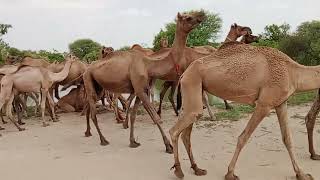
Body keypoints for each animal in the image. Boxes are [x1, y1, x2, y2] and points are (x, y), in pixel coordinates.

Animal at [82, 11, 206, 153]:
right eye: (188, 17)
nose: (201, 16)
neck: (149, 65)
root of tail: (86, 68)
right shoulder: (140, 89)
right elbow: (156, 118)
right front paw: (168, 146)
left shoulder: (141, 90)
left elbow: (133, 116)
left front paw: (133, 142)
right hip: (88, 79)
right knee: (94, 113)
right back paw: (103, 140)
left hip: (98, 87)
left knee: (89, 106)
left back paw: (88, 132)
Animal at [169, 41, 316, 179]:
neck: (293, 72)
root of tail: (183, 74)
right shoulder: (264, 104)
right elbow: (243, 137)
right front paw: (230, 173)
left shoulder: (281, 103)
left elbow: (288, 139)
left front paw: (302, 174)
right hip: (192, 83)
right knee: (174, 131)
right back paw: (178, 170)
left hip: (195, 90)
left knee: (186, 133)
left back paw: (197, 169)